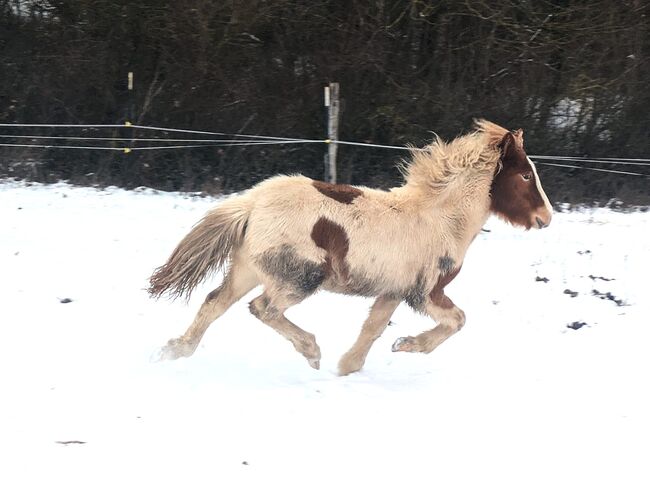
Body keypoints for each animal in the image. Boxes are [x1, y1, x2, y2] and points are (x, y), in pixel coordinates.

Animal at [149, 119, 552, 375]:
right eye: (525, 175)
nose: (545, 217)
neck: (441, 217)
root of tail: (251, 205)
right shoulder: (426, 291)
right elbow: (457, 320)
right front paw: (406, 345)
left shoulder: (393, 290)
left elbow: (372, 329)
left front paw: (349, 368)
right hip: (299, 277)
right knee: (262, 308)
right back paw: (312, 352)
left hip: (248, 269)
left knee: (215, 302)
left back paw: (173, 350)